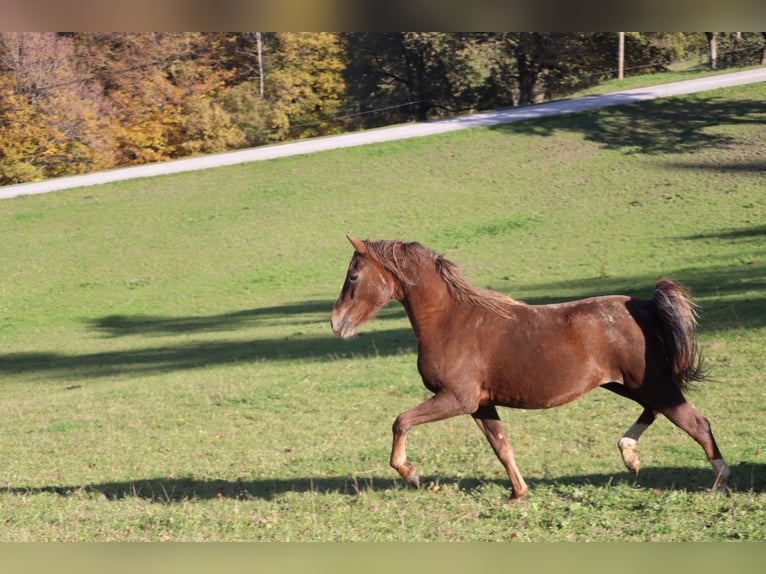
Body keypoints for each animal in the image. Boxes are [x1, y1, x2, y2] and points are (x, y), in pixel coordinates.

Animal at [330, 236, 732, 502]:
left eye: (353, 276)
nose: (336, 323)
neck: (452, 321)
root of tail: (646, 304)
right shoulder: (480, 404)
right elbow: (502, 446)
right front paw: (518, 493)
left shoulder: (456, 399)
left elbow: (401, 422)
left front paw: (410, 473)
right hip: (630, 384)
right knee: (656, 412)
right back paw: (629, 455)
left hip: (650, 384)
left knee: (697, 424)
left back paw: (719, 481)